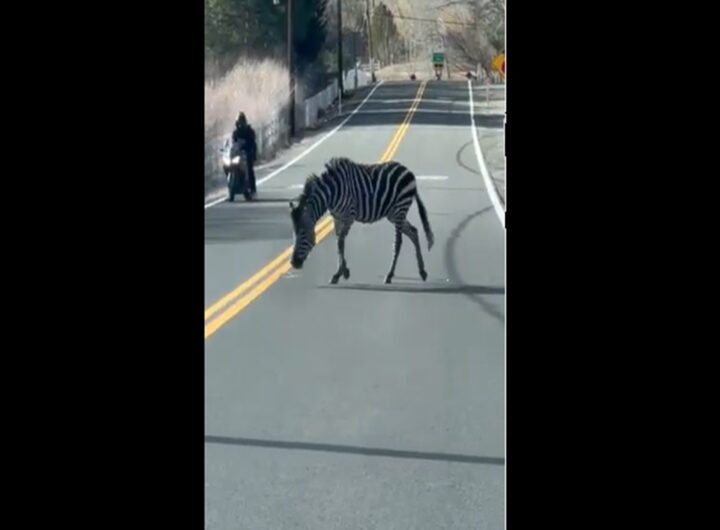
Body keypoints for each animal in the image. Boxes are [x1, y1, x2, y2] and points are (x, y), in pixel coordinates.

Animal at [289, 157, 434, 285]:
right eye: (293, 233)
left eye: (303, 233)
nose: (294, 263)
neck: (331, 193)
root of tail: (409, 172)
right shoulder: (337, 218)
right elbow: (338, 243)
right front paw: (341, 272)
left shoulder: (349, 216)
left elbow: (340, 243)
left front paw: (341, 273)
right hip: (393, 214)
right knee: (413, 232)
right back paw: (422, 271)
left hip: (400, 210)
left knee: (398, 242)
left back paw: (389, 275)